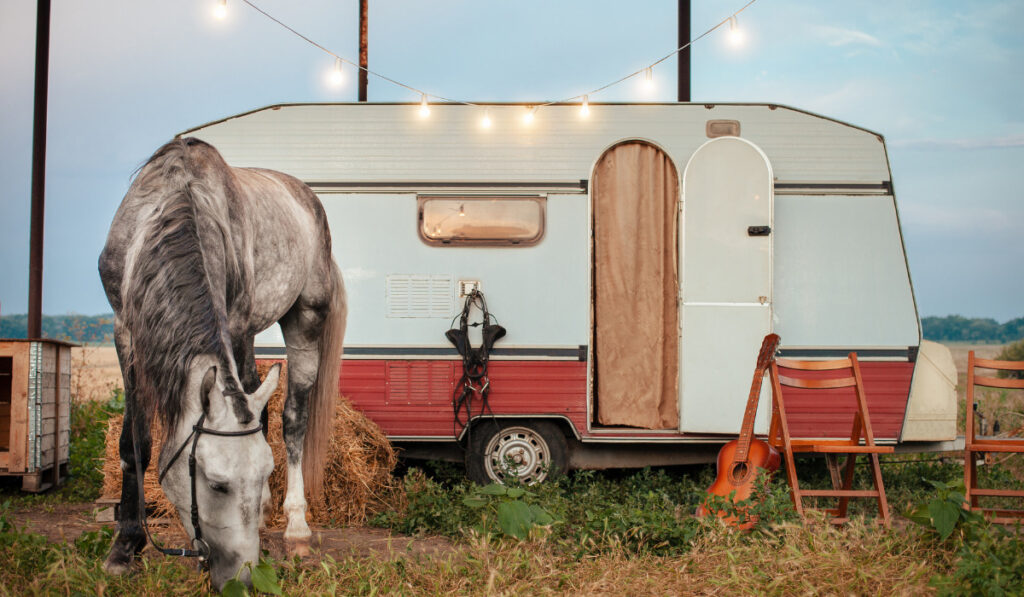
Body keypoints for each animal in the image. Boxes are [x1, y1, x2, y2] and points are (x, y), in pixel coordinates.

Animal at [99, 138, 348, 589]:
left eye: (264, 475)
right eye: (217, 485)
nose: (244, 578)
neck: (173, 206)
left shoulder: (232, 324)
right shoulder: (125, 332)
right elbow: (135, 444)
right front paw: (124, 547)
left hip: (303, 320)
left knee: (292, 420)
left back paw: (295, 528)